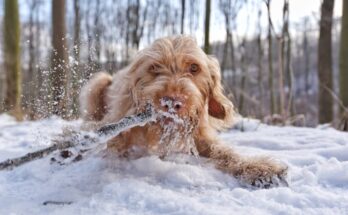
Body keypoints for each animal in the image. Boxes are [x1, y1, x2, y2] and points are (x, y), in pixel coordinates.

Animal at [79, 35, 288, 188]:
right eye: (154, 68)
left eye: (194, 68)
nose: (172, 102)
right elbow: (111, 144)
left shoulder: (201, 139)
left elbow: (226, 153)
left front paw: (258, 168)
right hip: (100, 81)